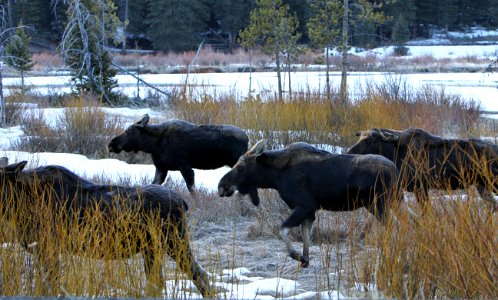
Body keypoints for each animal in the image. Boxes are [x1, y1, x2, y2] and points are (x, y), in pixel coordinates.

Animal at [0, 158, 212, 296]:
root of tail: (183, 203)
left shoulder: (47, 248)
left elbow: (49, 286)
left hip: (174, 242)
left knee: (200, 276)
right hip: (151, 249)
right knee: (158, 283)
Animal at [109, 113, 249, 193]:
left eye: (128, 131)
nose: (111, 144)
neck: (153, 145)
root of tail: (247, 139)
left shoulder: (184, 166)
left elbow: (192, 190)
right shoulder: (161, 167)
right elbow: (153, 184)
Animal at [218, 139, 400, 266]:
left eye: (240, 167)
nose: (221, 186)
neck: (275, 177)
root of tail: (395, 171)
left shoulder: (304, 206)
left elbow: (283, 229)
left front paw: (297, 256)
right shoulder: (309, 212)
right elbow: (305, 235)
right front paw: (305, 259)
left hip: (379, 205)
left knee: (395, 227)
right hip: (388, 204)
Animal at [346, 127, 498, 210]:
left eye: (370, 139)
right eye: (360, 137)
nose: (349, 151)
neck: (395, 154)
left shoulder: (420, 187)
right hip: (482, 185)